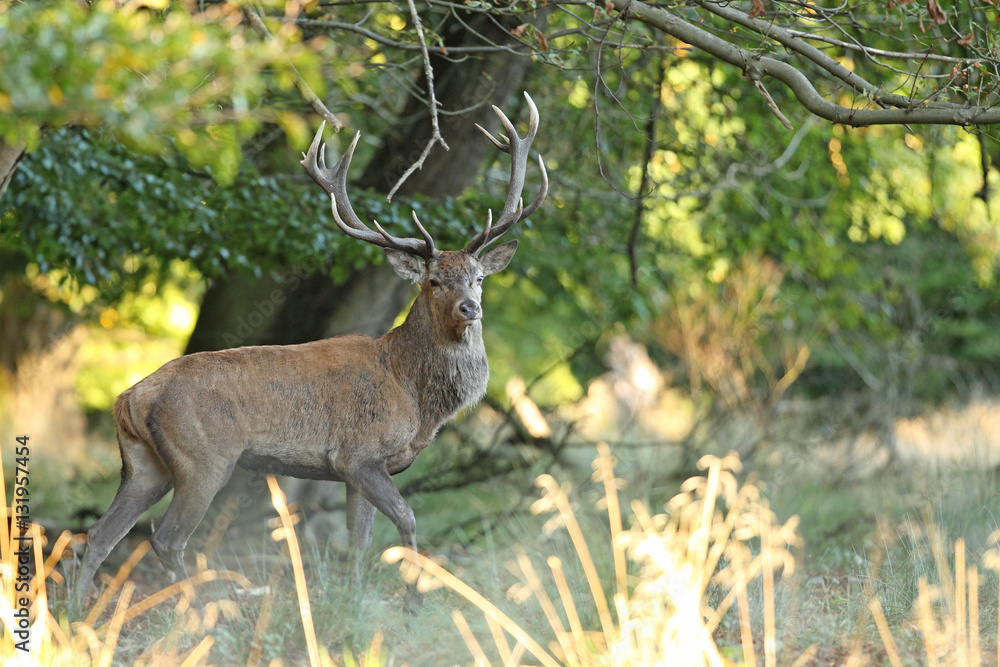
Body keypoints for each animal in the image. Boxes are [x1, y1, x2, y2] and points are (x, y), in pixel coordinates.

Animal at [71, 92, 547, 609]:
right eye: (434, 281)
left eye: (479, 277)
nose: (470, 307)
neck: (417, 399)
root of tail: (130, 397)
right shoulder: (359, 453)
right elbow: (407, 519)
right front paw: (414, 600)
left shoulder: (359, 471)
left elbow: (359, 539)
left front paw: (354, 603)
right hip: (203, 458)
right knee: (166, 538)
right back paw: (202, 611)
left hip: (143, 464)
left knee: (98, 535)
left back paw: (77, 613)